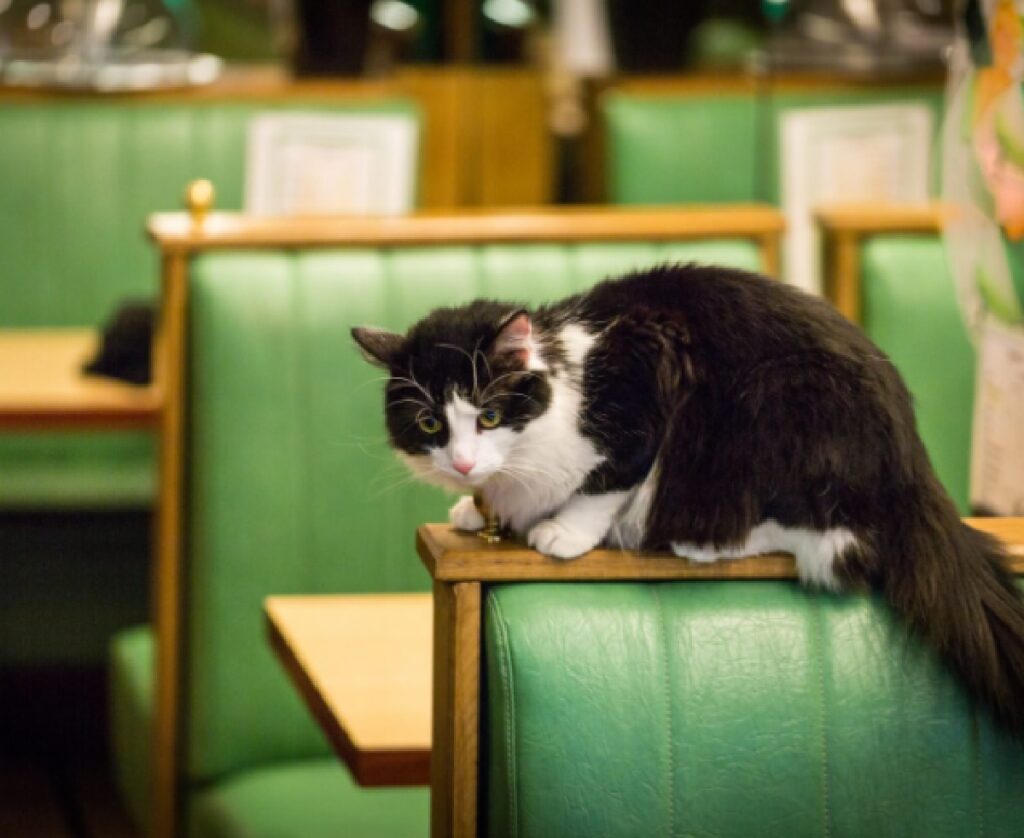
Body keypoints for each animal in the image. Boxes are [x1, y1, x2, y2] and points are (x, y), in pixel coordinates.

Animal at [352, 261, 1024, 729]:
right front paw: (473, 512)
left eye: (489, 416)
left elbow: (609, 476)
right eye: (430, 425)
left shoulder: (647, 373)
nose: (464, 463)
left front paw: (563, 531)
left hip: (771, 414)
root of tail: (911, 463)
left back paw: (700, 542)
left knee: (833, 546)